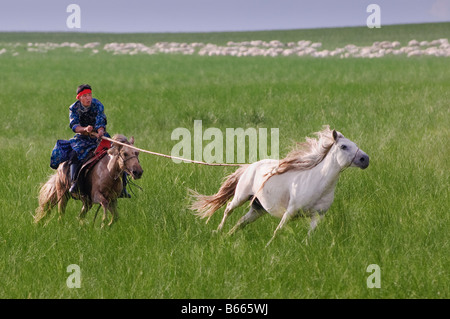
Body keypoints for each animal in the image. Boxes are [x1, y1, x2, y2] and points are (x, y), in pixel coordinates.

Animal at [190, 126, 370, 246]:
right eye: (344, 146)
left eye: (355, 144)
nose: (365, 159)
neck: (319, 185)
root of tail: (250, 166)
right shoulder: (290, 211)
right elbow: (279, 230)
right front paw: (268, 246)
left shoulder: (317, 216)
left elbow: (310, 235)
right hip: (241, 197)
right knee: (228, 208)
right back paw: (219, 231)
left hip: (258, 208)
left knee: (242, 221)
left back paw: (228, 235)